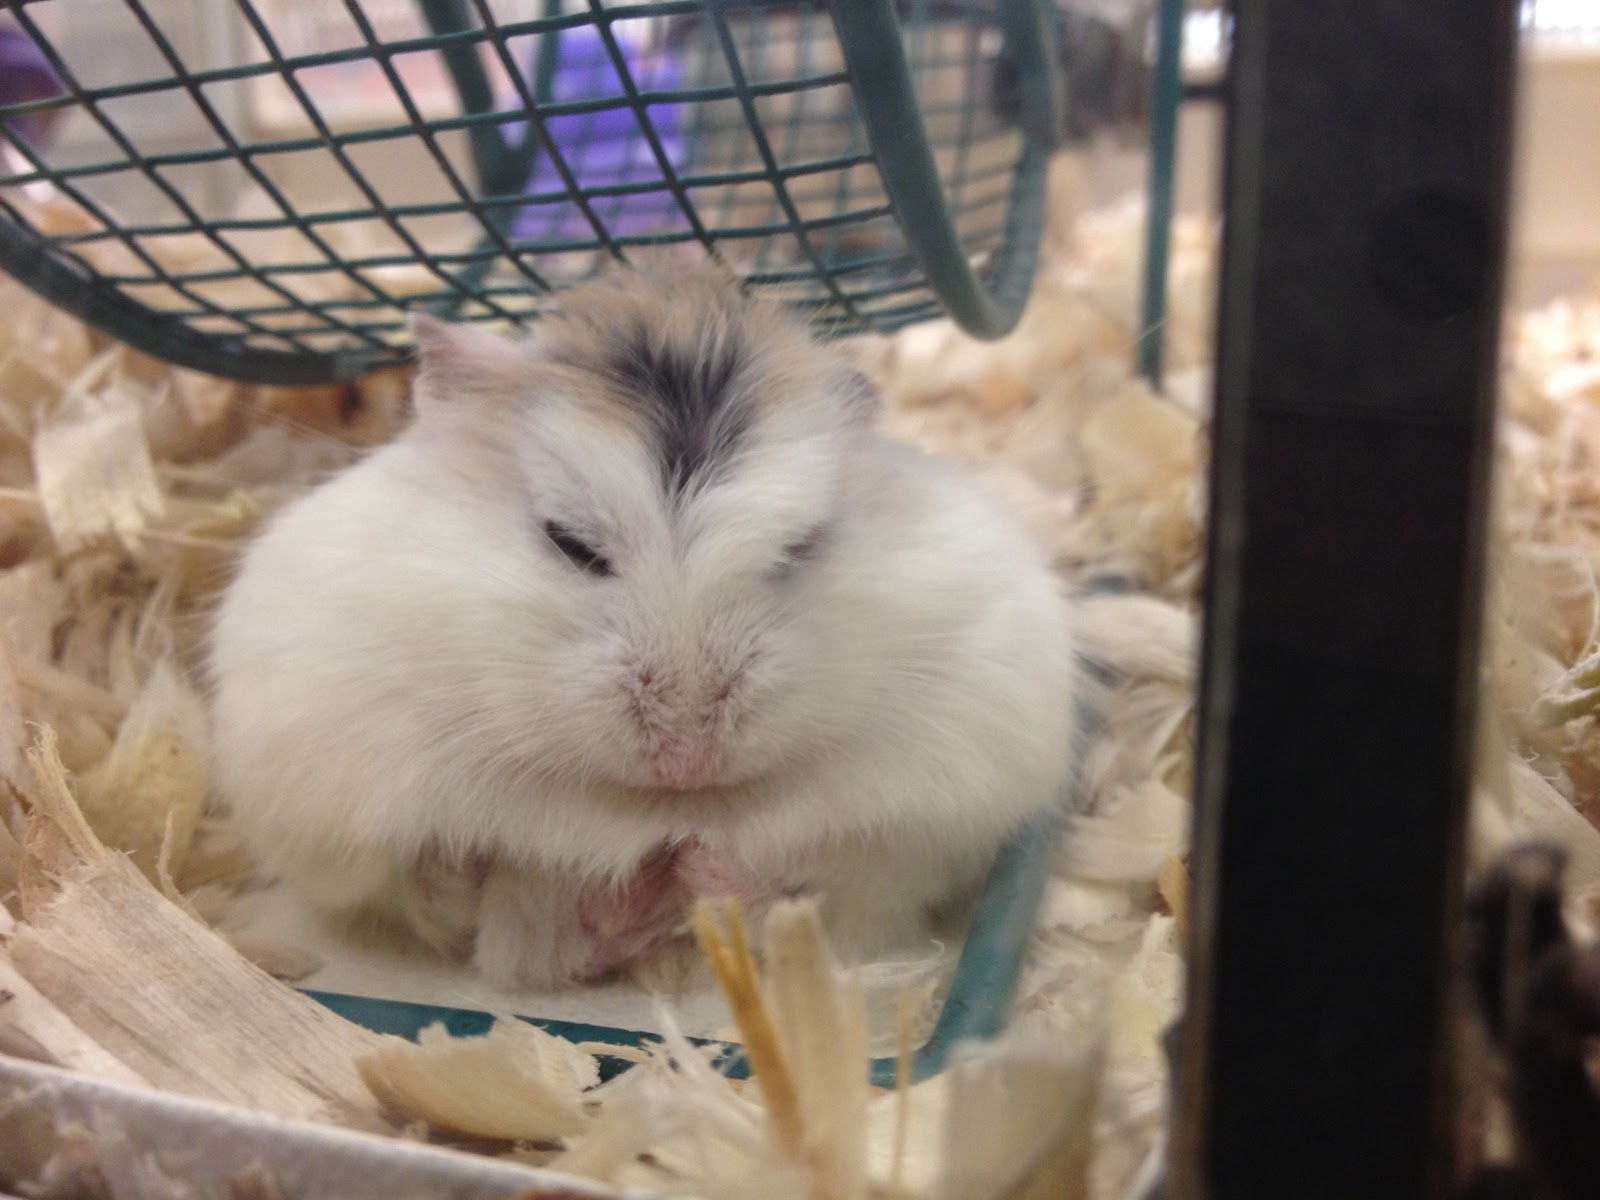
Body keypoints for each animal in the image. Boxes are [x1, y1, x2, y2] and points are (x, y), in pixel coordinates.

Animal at [207, 266, 1078, 990]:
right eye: (570, 543)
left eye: (802, 547)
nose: (687, 763)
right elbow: (426, 886)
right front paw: (482, 861)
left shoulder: (932, 804)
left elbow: (831, 884)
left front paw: (694, 855)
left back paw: (681, 875)